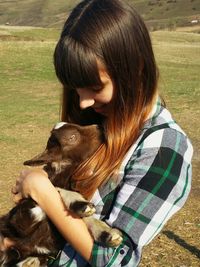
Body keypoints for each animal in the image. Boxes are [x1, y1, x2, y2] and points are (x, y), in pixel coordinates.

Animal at [0, 122, 122, 266]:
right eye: (72, 137)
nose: (99, 127)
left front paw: (107, 232)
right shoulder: (18, 220)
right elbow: (54, 189)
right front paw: (80, 204)